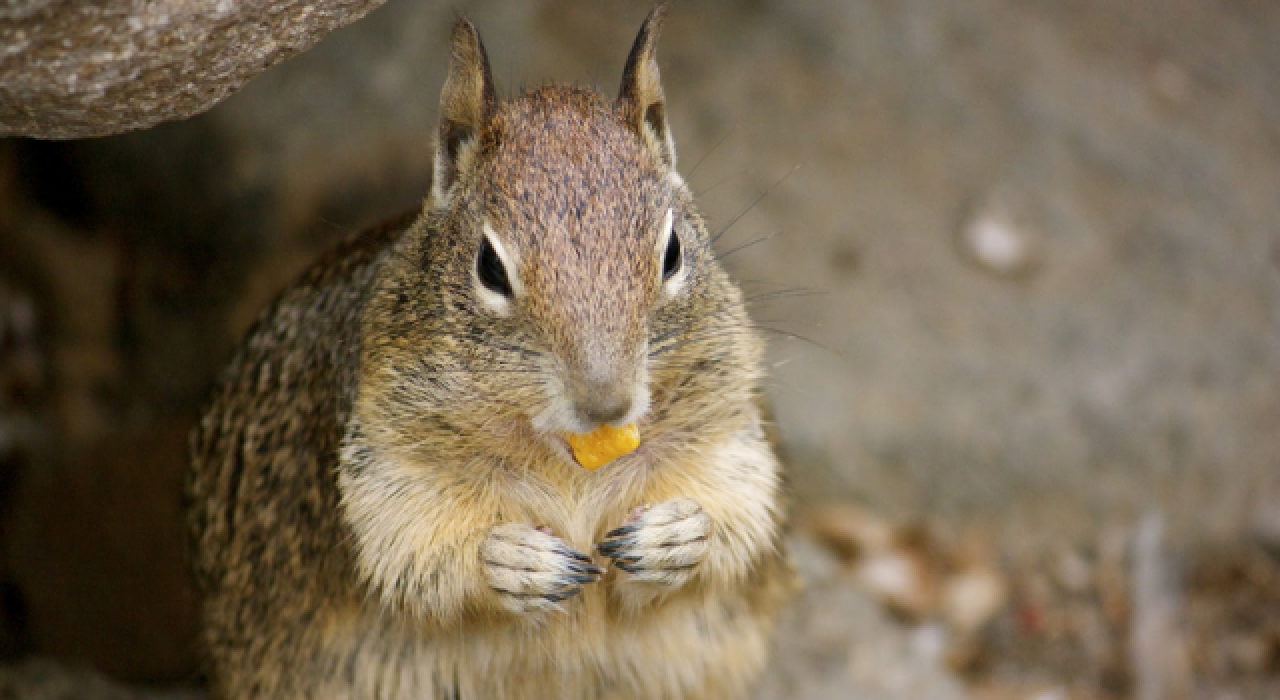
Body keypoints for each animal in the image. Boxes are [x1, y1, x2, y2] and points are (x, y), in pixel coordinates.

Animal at [186, 6, 793, 700]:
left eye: (671, 253)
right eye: (490, 267)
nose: (607, 404)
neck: (569, 464)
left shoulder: (730, 429)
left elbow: (738, 513)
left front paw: (675, 534)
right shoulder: (382, 469)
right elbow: (416, 550)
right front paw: (513, 558)